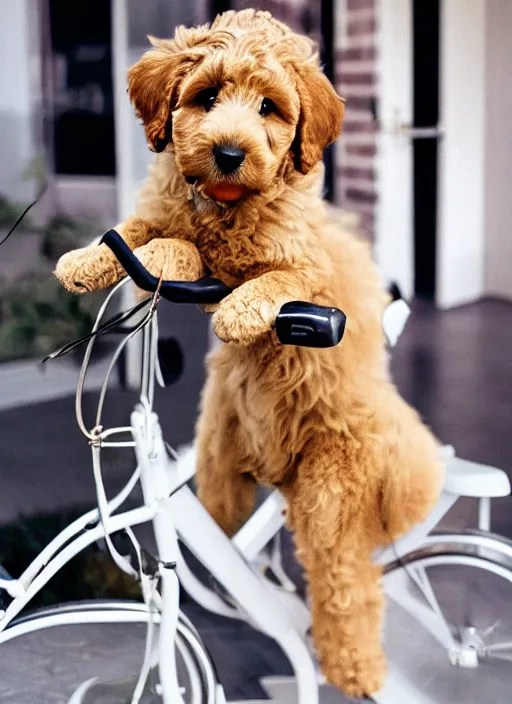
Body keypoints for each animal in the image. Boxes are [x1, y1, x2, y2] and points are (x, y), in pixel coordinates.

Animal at [54, 6, 442, 700]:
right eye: (206, 97)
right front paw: (89, 259)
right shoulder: (167, 217)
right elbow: (139, 232)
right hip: (221, 453)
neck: (224, 208)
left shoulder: (304, 268)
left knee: (349, 585)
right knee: (227, 513)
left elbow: (269, 279)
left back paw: (355, 667)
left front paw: (234, 306)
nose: (229, 154)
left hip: (329, 494)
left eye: (270, 107)